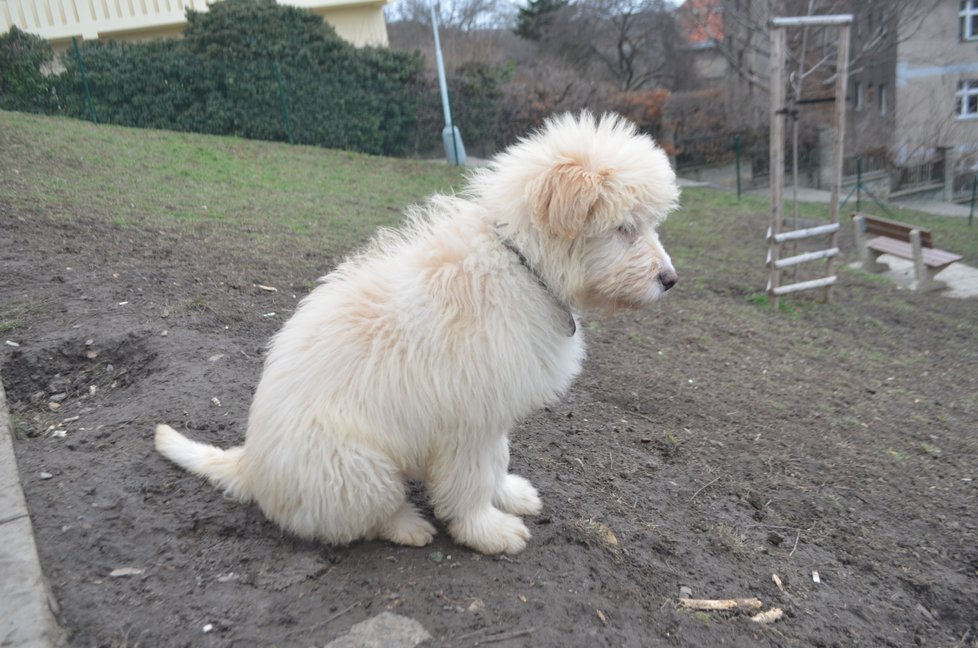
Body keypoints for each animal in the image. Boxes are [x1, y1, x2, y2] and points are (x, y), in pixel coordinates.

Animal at [158, 111, 680, 552]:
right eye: (624, 227)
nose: (670, 280)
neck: (520, 263)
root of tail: (249, 465)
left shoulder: (492, 412)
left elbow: (498, 460)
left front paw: (509, 494)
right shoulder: (469, 421)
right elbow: (471, 478)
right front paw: (487, 530)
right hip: (358, 467)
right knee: (361, 521)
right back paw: (408, 525)